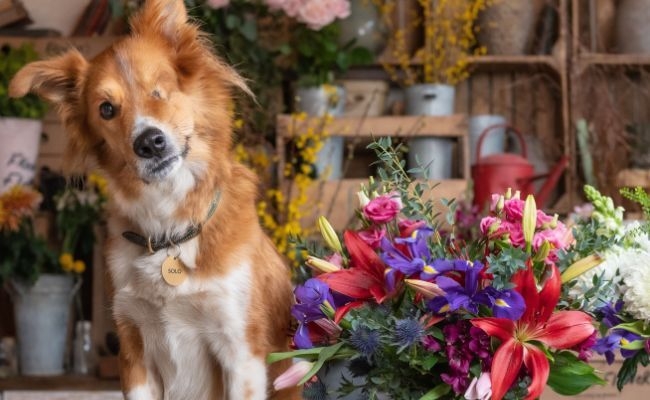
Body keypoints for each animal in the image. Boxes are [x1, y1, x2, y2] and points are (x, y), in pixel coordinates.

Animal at [8, 1, 300, 398]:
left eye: (160, 90)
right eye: (106, 109)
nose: (149, 142)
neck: (169, 228)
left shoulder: (241, 352)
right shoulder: (134, 350)